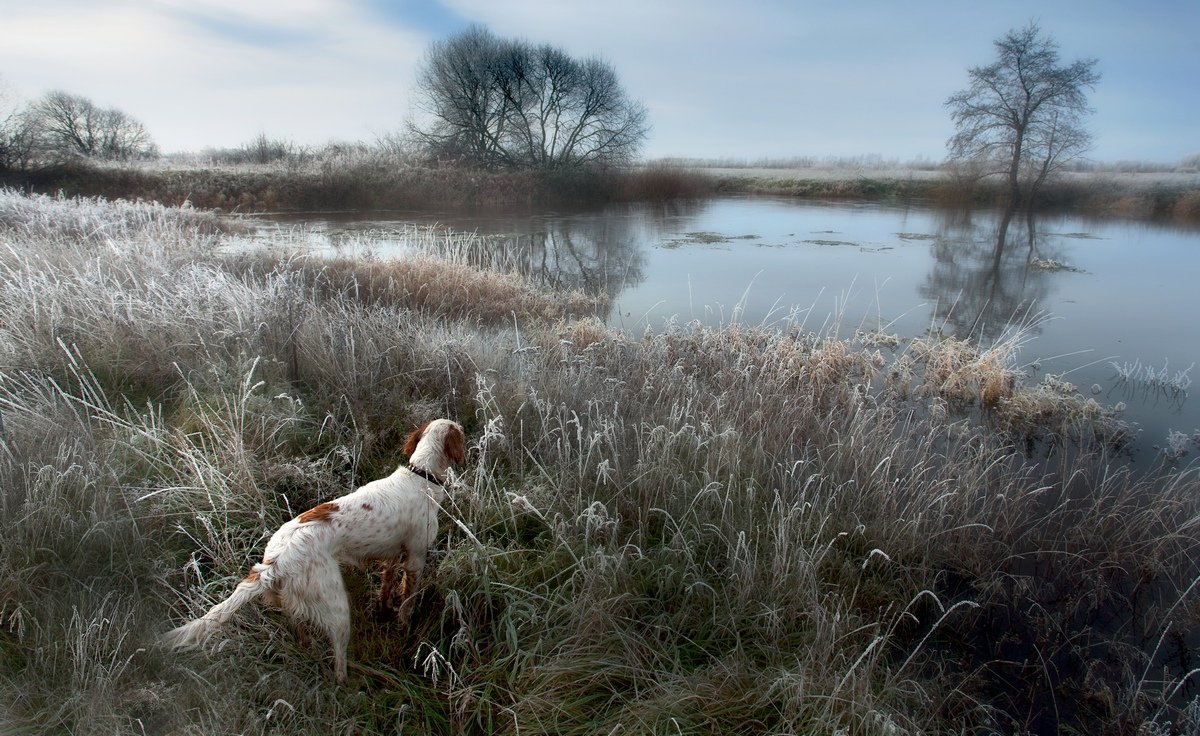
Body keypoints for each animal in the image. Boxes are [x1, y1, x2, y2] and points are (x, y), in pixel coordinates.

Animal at [166, 415, 465, 681]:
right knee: (338, 664)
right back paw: (351, 683)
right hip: (337, 607)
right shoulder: (415, 557)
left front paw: (385, 608)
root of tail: (274, 563)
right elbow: (408, 600)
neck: (422, 476)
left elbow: (387, 586)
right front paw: (404, 627)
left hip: (295, 604)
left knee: (303, 636)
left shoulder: (392, 554)